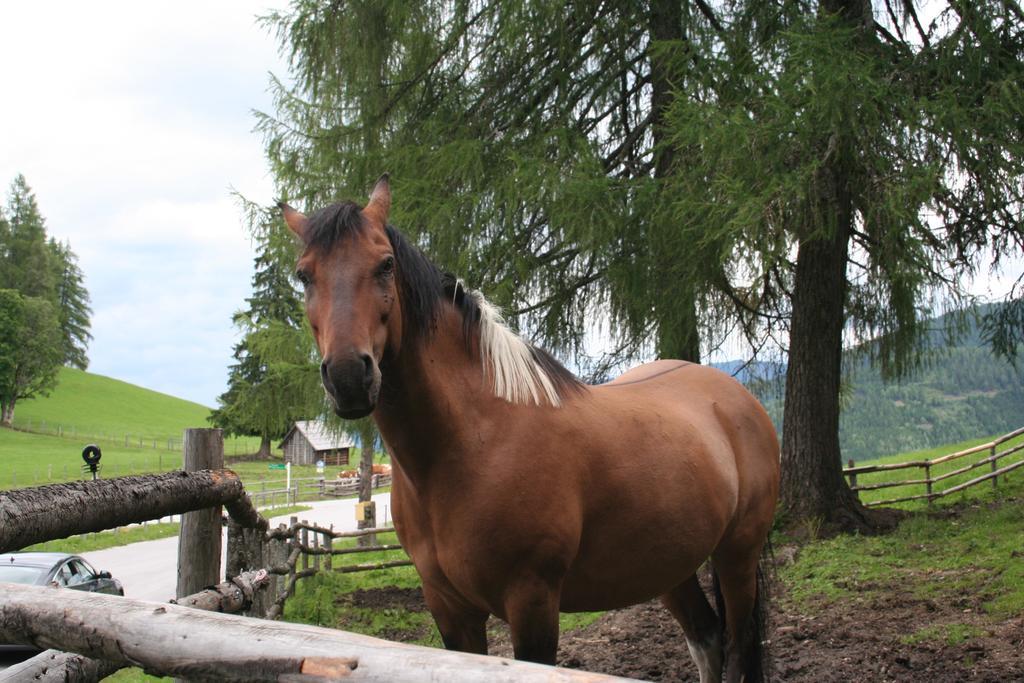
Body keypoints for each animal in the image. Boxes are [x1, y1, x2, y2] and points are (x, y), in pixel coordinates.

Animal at [280, 178, 774, 683]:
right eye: (304, 275)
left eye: (385, 264)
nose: (348, 377)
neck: (473, 441)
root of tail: (734, 396)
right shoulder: (450, 610)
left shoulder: (532, 601)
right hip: (670, 565)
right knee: (707, 640)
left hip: (737, 555)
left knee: (736, 645)